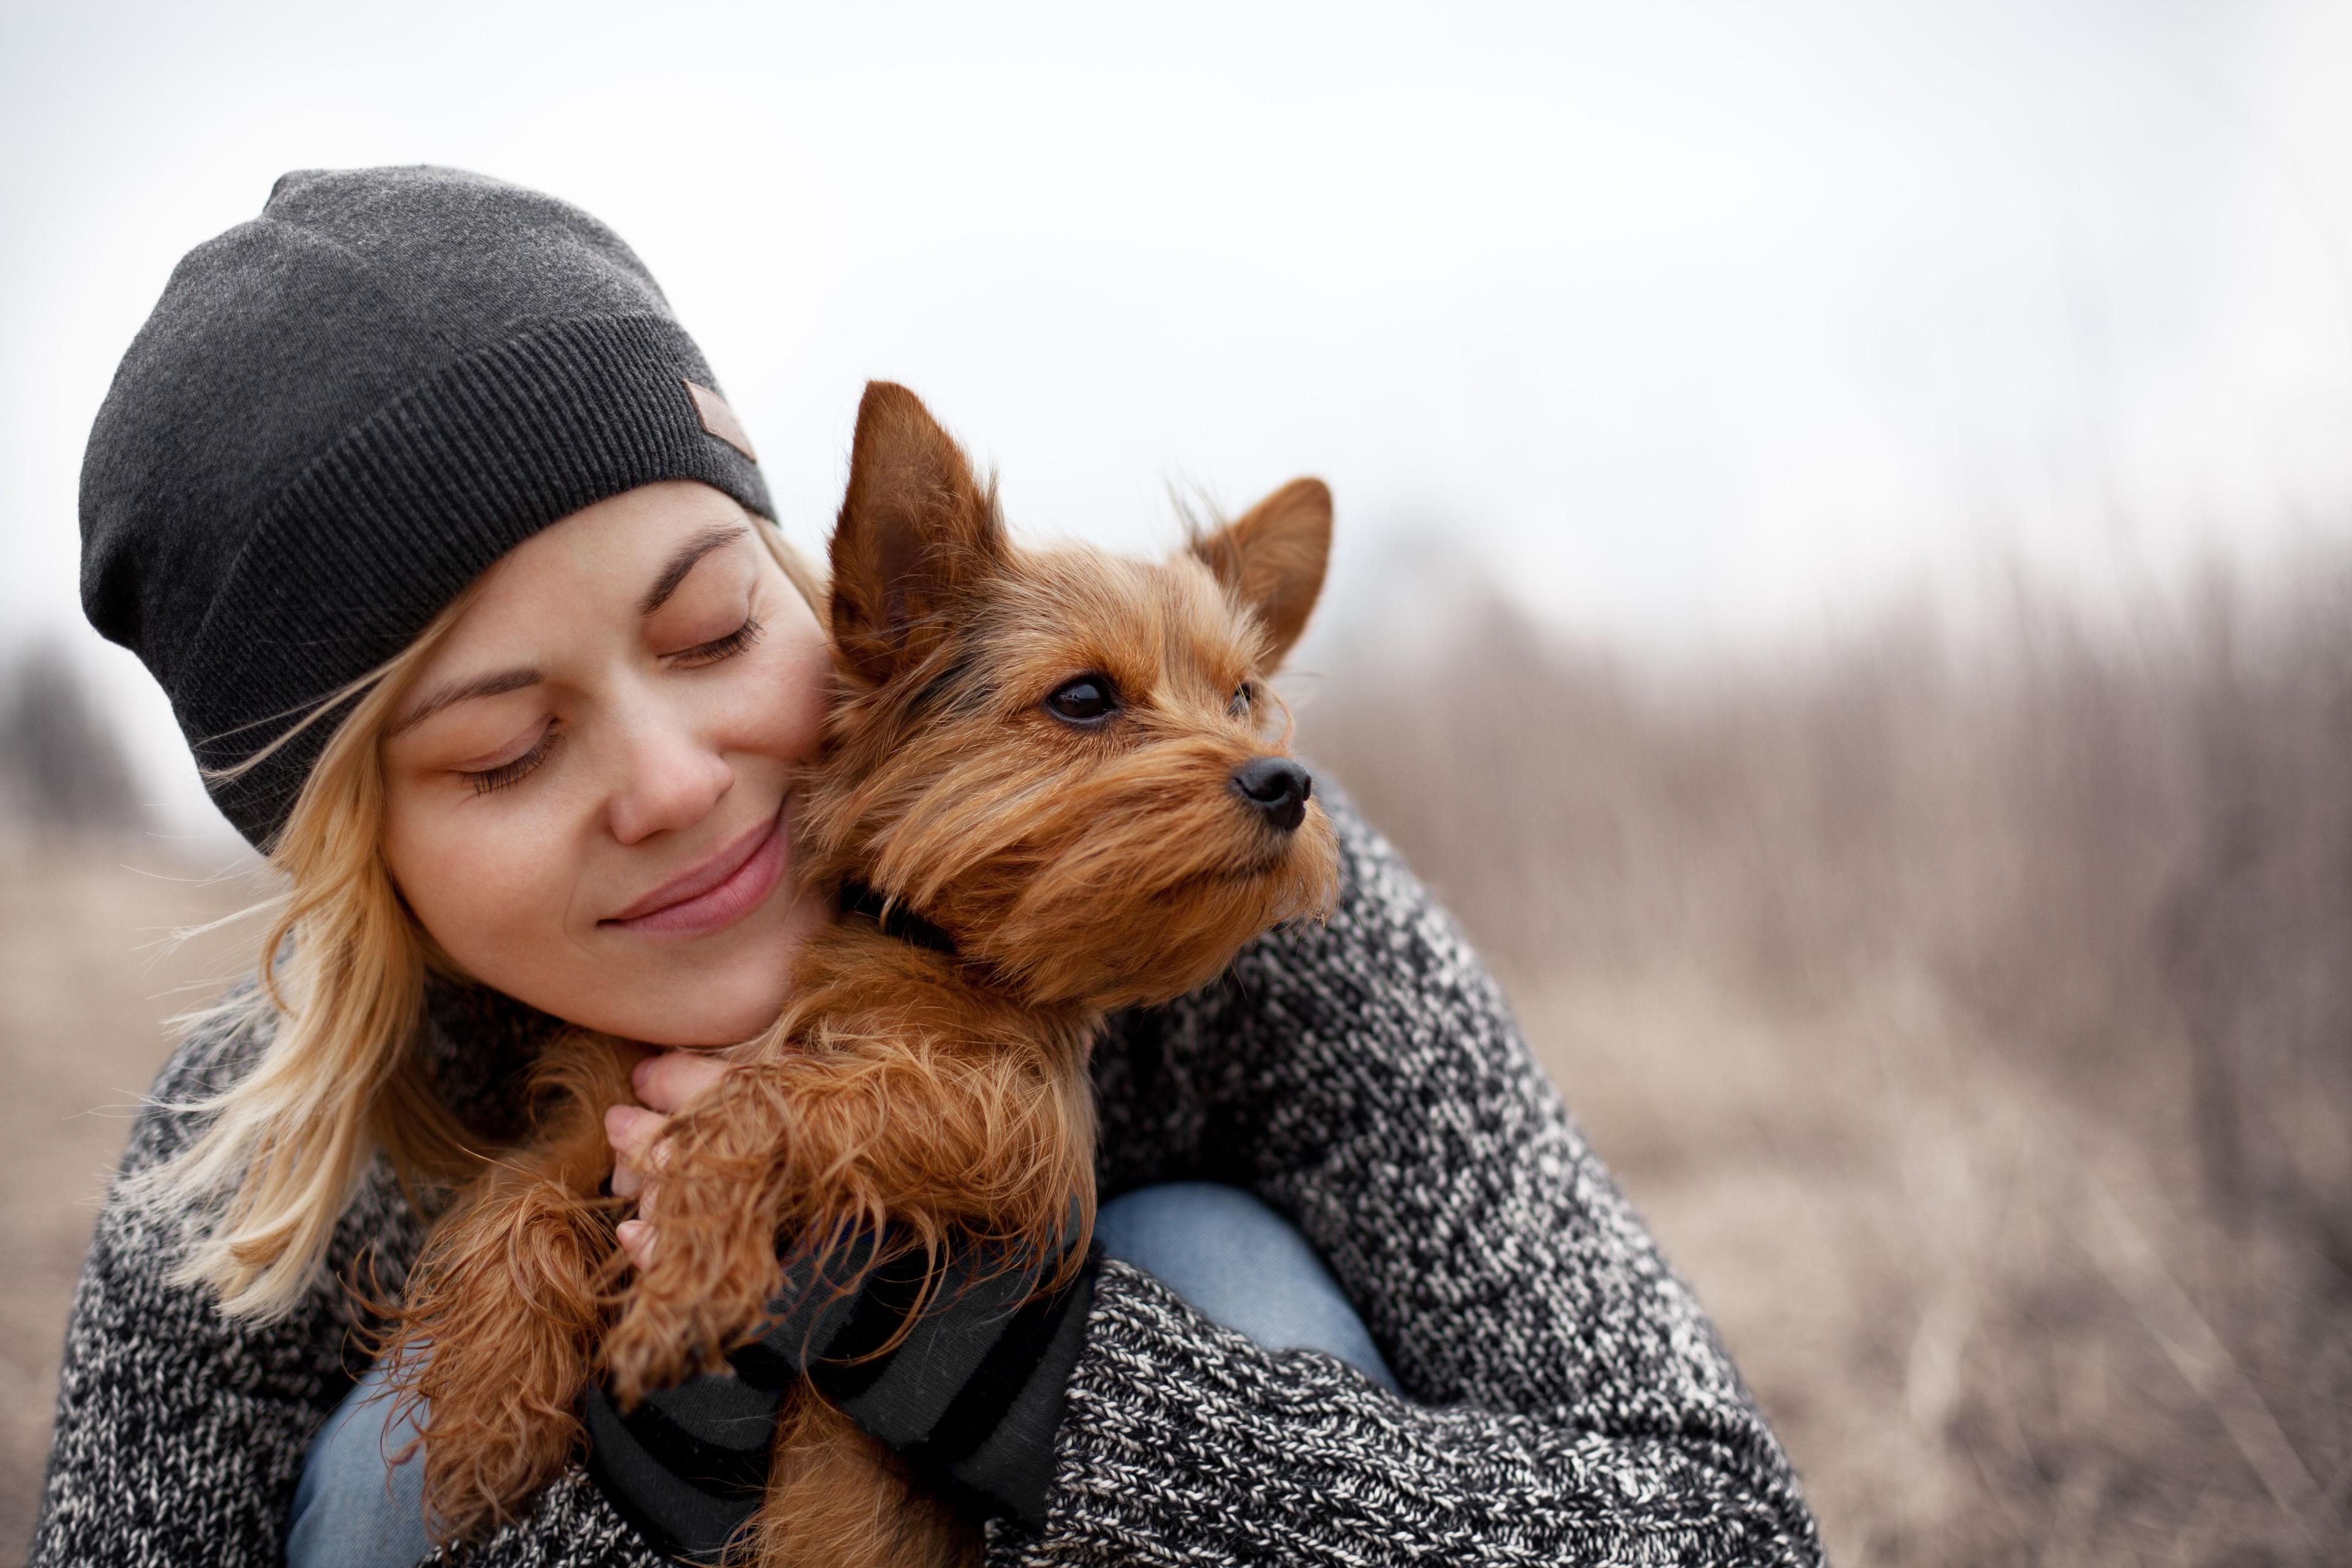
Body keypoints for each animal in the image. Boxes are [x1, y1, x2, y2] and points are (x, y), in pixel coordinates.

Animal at [385, 383, 1345, 1568]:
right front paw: (488, 1410)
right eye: (1083, 699)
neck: (904, 940)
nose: (1284, 779)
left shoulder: (1009, 1129)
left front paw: (687, 1281)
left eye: (1245, 695)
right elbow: (516, 1196)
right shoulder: (599, 1108)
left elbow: (767, 1101)